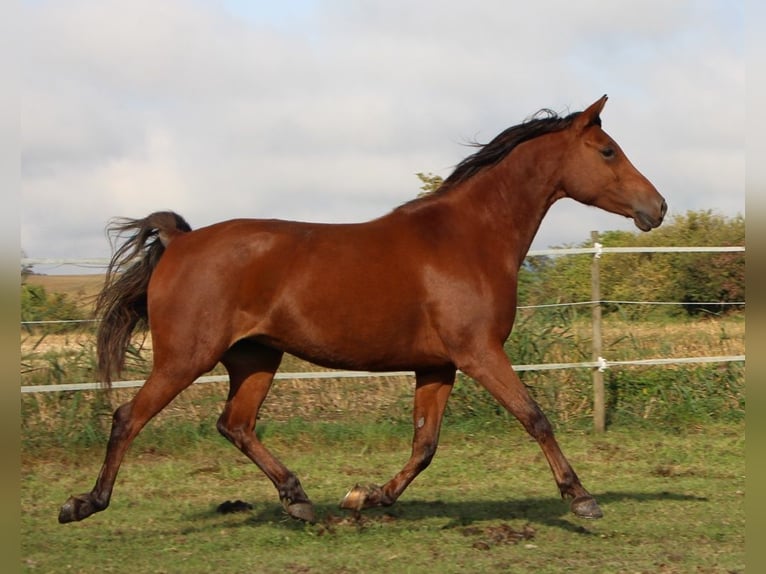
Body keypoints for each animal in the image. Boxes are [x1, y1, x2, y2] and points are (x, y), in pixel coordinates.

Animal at [57, 95, 664, 528]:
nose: (657, 207)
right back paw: (84, 503)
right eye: (607, 151)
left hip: (255, 358)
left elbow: (424, 444)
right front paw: (581, 498)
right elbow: (534, 417)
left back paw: (298, 499)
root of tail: (179, 242)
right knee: (128, 418)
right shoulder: (479, 352)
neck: (469, 237)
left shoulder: (438, 364)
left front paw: (365, 496)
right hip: (186, 357)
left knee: (235, 424)